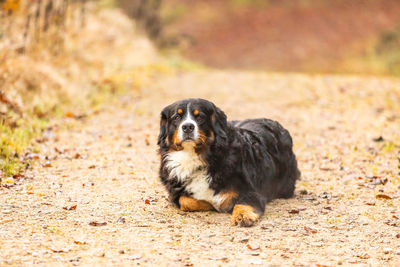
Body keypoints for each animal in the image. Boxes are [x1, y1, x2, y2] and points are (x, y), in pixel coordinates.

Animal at [156, 99, 300, 227]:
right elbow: (185, 201)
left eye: (200, 117)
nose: (187, 127)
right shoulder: (174, 192)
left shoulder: (252, 192)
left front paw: (242, 215)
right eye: (176, 117)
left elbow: (242, 203)